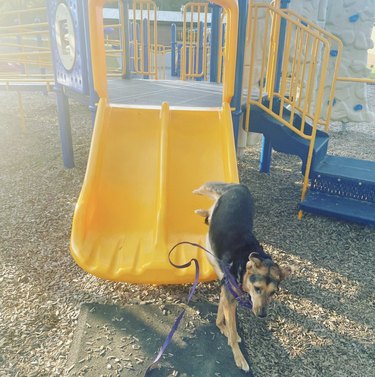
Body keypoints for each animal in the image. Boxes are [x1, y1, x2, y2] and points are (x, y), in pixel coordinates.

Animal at [194, 181, 294, 370]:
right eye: (257, 288)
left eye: (273, 293)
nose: (262, 315)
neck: (243, 262)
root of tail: (239, 187)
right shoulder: (230, 298)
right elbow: (233, 332)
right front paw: (239, 356)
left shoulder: (227, 295)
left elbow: (221, 314)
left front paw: (222, 327)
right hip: (212, 195)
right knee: (204, 191)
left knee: (209, 213)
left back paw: (202, 212)